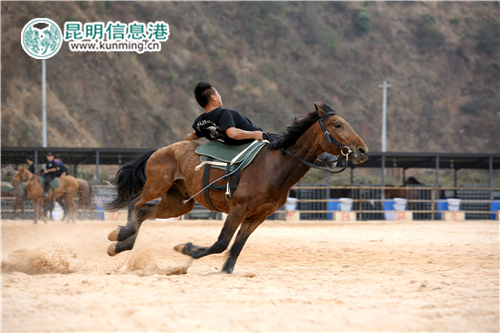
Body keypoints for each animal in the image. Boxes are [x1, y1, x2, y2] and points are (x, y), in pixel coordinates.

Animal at [102, 103, 368, 272]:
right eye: (337, 125)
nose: (363, 150)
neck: (275, 165)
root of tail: (161, 150)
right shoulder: (238, 210)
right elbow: (221, 243)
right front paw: (186, 248)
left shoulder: (257, 217)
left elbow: (236, 247)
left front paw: (225, 270)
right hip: (158, 185)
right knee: (135, 203)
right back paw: (122, 235)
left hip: (178, 204)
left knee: (145, 212)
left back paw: (120, 244)